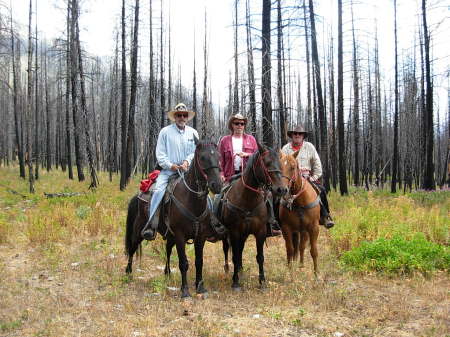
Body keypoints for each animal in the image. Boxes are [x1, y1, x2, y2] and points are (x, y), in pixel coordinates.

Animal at [124, 138, 222, 296]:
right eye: (202, 157)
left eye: (219, 157)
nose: (217, 185)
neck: (191, 201)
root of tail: (138, 196)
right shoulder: (180, 236)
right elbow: (183, 263)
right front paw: (185, 291)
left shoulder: (200, 237)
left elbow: (199, 261)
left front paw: (200, 287)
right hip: (139, 230)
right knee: (132, 248)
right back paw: (128, 272)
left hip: (170, 235)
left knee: (168, 249)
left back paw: (167, 272)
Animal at [219, 142, 288, 288]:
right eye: (266, 163)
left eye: (280, 163)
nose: (282, 189)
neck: (247, 200)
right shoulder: (234, 231)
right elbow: (234, 255)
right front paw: (235, 282)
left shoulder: (260, 231)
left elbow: (259, 257)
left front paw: (262, 282)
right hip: (228, 234)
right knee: (227, 249)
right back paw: (228, 269)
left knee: (239, 250)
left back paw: (240, 269)